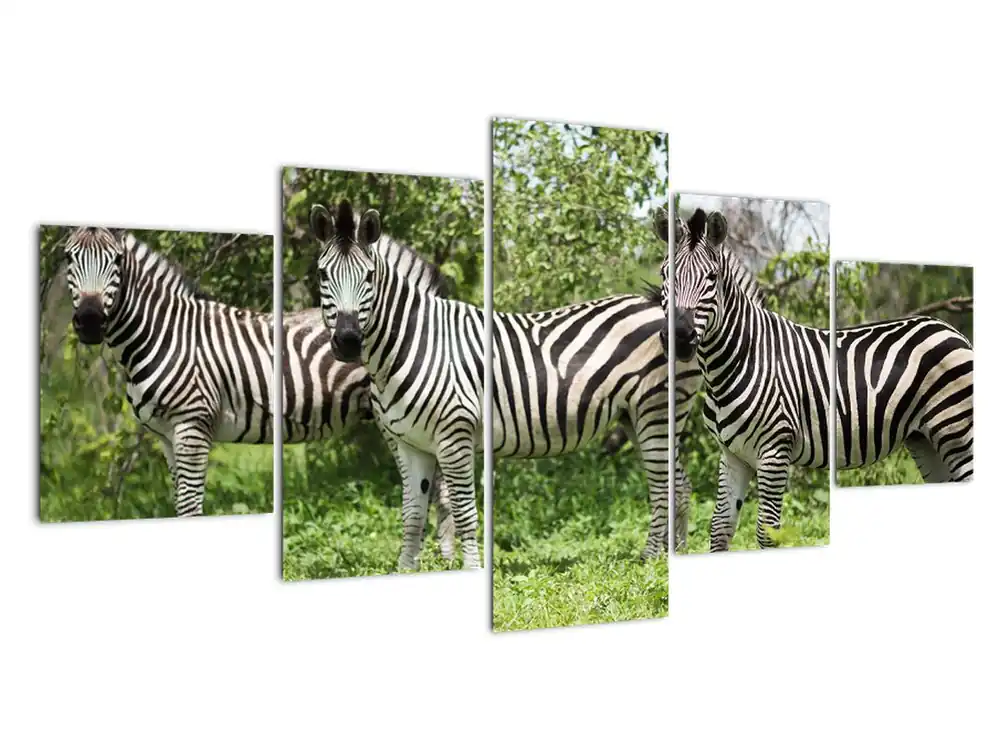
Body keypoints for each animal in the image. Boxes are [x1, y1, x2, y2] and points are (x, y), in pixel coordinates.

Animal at [62, 226, 455, 554]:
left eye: (116, 261)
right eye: (67, 259)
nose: (91, 322)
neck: (164, 334)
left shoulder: (192, 424)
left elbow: (190, 506)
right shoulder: (166, 436)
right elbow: (179, 503)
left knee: (444, 490)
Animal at [310, 199, 675, 570]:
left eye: (369, 276)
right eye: (323, 275)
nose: (348, 341)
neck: (417, 343)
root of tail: (651, 302)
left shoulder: (454, 435)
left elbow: (464, 513)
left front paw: (472, 568)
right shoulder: (408, 443)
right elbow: (412, 514)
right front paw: (405, 570)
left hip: (654, 411)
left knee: (663, 486)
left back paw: (652, 559)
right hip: (635, 417)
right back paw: (673, 550)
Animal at [663, 207, 973, 552]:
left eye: (712, 278)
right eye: (665, 275)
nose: (680, 336)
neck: (741, 359)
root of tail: (952, 330)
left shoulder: (774, 451)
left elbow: (767, 533)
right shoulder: (733, 455)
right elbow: (720, 526)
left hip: (957, 432)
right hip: (925, 439)